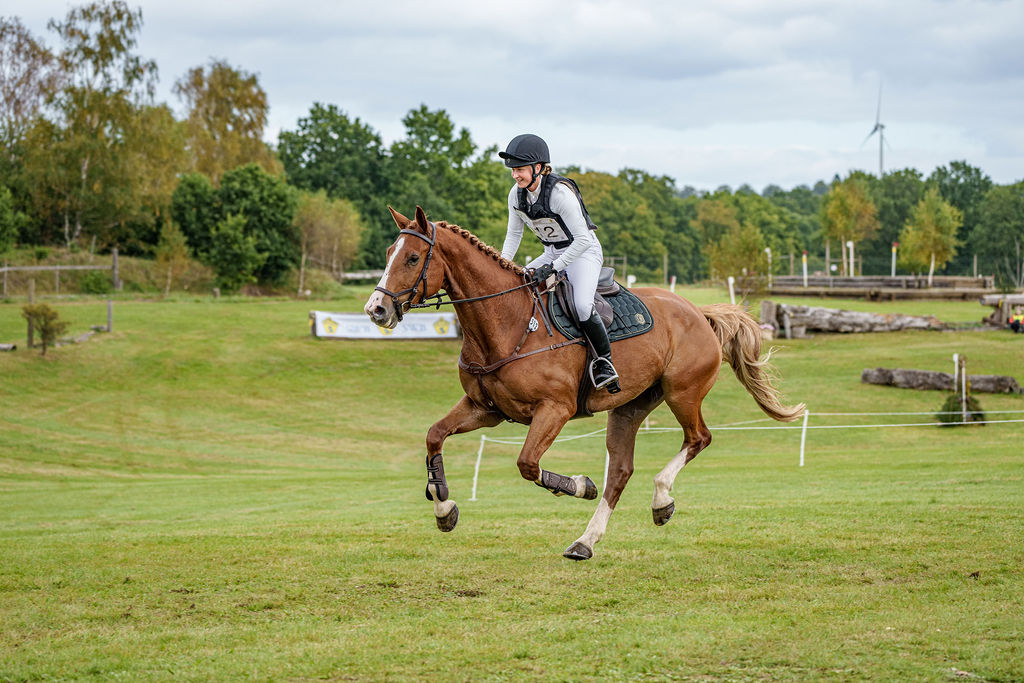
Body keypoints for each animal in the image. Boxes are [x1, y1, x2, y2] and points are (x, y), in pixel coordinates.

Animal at [364, 206, 802, 561]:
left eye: (413, 257)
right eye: (388, 255)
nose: (376, 310)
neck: (507, 325)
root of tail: (698, 312)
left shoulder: (554, 410)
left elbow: (528, 464)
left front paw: (579, 485)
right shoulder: (485, 410)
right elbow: (434, 436)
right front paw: (444, 507)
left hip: (683, 393)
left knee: (698, 439)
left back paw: (660, 499)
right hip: (630, 406)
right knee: (621, 471)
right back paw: (586, 542)